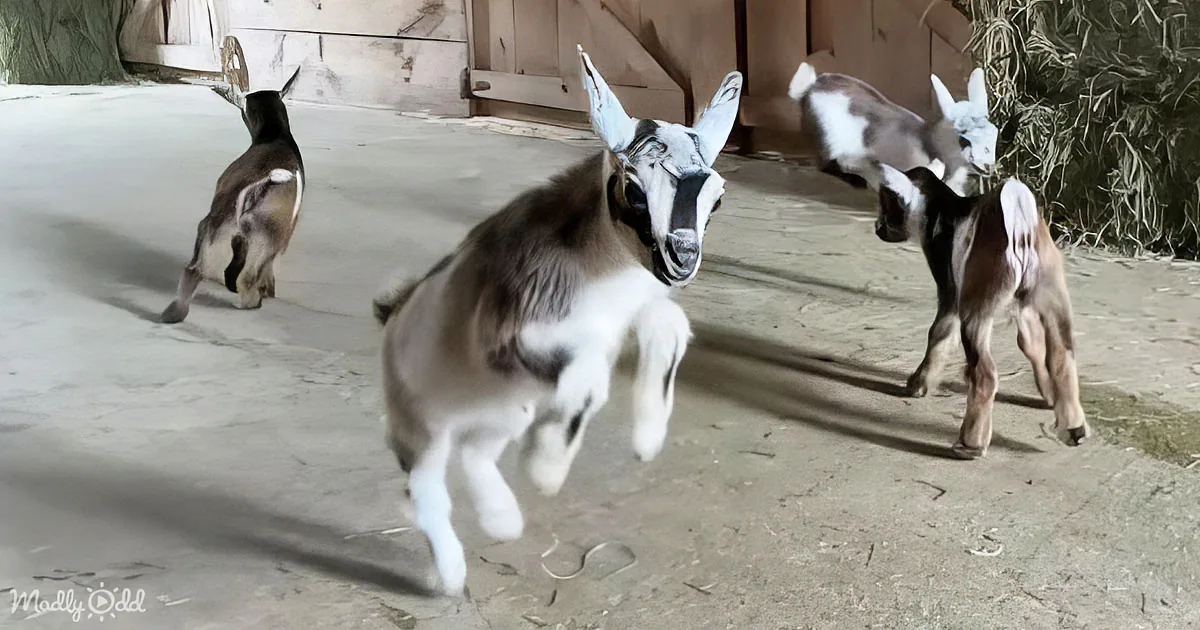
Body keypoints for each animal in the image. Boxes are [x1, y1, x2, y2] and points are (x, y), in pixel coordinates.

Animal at [160, 65, 305, 324]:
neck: (275, 135)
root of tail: (256, 185)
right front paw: (267, 290)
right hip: (267, 235)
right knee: (248, 279)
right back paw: (252, 302)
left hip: (212, 225)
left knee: (193, 271)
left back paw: (175, 312)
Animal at [371, 45, 742, 596]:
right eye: (633, 188)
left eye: (716, 197)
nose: (683, 256)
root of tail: (392, 314)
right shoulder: (510, 334)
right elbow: (587, 379)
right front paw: (547, 467)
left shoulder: (625, 313)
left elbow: (669, 326)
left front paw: (647, 438)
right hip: (422, 421)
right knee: (426, 485)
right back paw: (451, 572)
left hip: (504, 408)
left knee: (477, 451)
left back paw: (502, 520)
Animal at [787, 63, 997, 196]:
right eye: (964, 137)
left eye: (993, 134)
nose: (989, 166)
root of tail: (809, 86)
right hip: (829, 140)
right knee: (828, 165)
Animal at [873, 160, 1090, 459]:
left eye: (886, 201)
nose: (877, 227)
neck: (943, 207)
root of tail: (1020, 224)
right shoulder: (1023, 308)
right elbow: (1031, 343)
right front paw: (1048, 394)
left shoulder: (950, 290)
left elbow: (939, 332)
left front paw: (918, 385)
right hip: (1051, 293)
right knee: (1063, 356)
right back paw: (1074, 429)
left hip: (977, 305)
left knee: (985, 372)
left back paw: (970, 444)